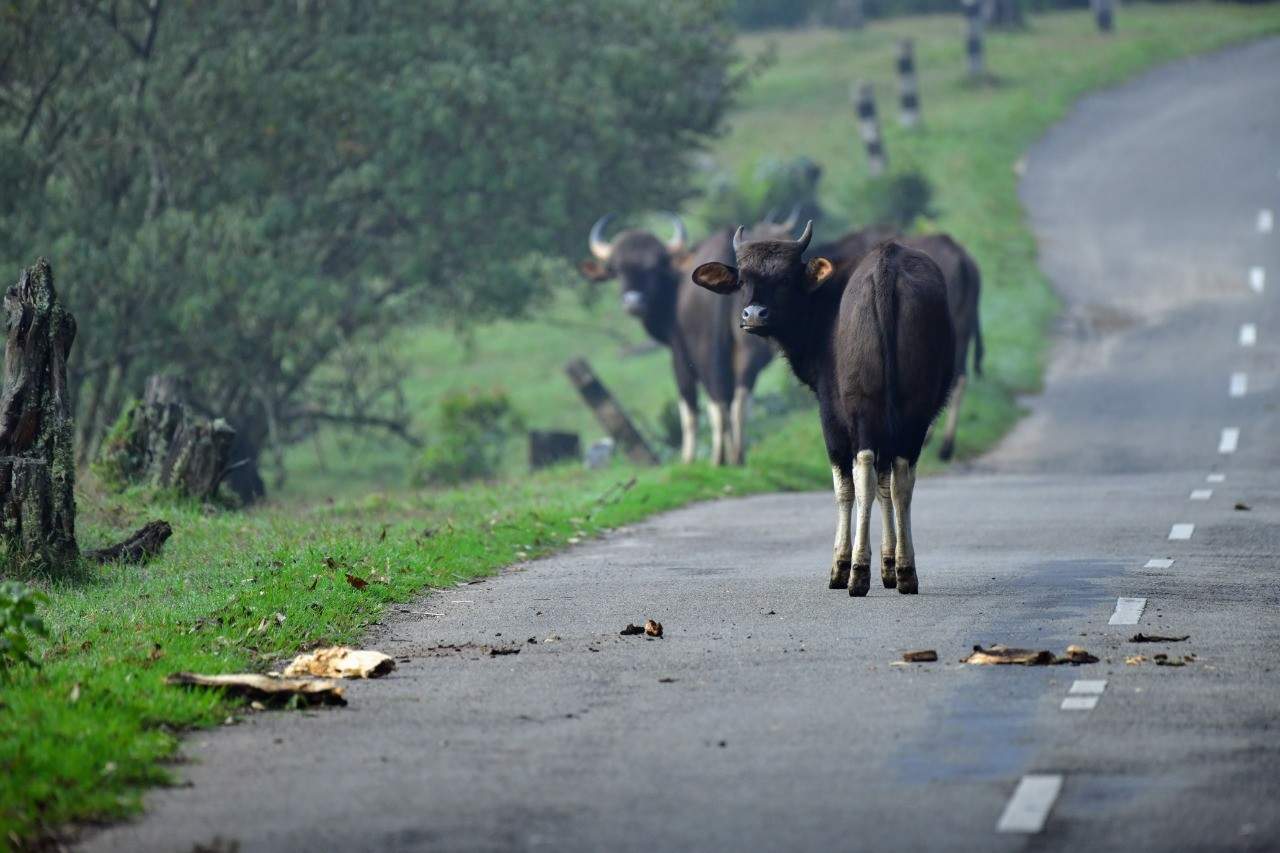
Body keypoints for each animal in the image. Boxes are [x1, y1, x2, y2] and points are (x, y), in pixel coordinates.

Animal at [581, 216, 768, 461]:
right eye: (617, 269)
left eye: (653, 267)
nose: (633, 302)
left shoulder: (679, 353)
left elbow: (688, 406)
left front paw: (687, 459)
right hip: (748, 347)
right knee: (738, 398)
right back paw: (737, 455)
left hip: (706, 350)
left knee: (717, 399)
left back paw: (719, 459)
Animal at [691, 225, 952, 596]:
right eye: (742, 279)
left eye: (785, 278)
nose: (753, 315)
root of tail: (886, 269)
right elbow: (886, 486)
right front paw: (888, 566)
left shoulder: (829, 411)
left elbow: (846, 488)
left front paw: (842, 566)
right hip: (914, 408)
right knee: (901, 478)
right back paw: (906, 570)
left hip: (859, 406)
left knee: (860, 475)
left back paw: (856, 573)